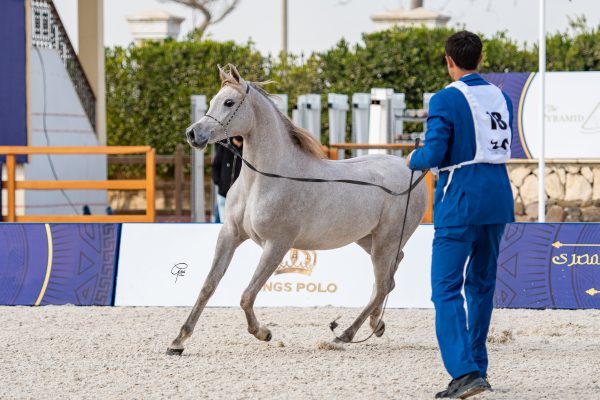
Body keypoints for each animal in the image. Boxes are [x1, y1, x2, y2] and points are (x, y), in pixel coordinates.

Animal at [165, 65, 426, 356]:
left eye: (229, 102)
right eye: (212, 100)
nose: (193, 134)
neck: (263, 180)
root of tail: (409, 168)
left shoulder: (277, 244)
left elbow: (247, 295)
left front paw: (263, 332)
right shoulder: (230, 235)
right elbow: (208, 286)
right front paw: (178, 341)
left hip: (384, 242)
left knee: (383, 284)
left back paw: (343, 335)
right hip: (369, 240)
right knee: (389, 277)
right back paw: (375, 324)